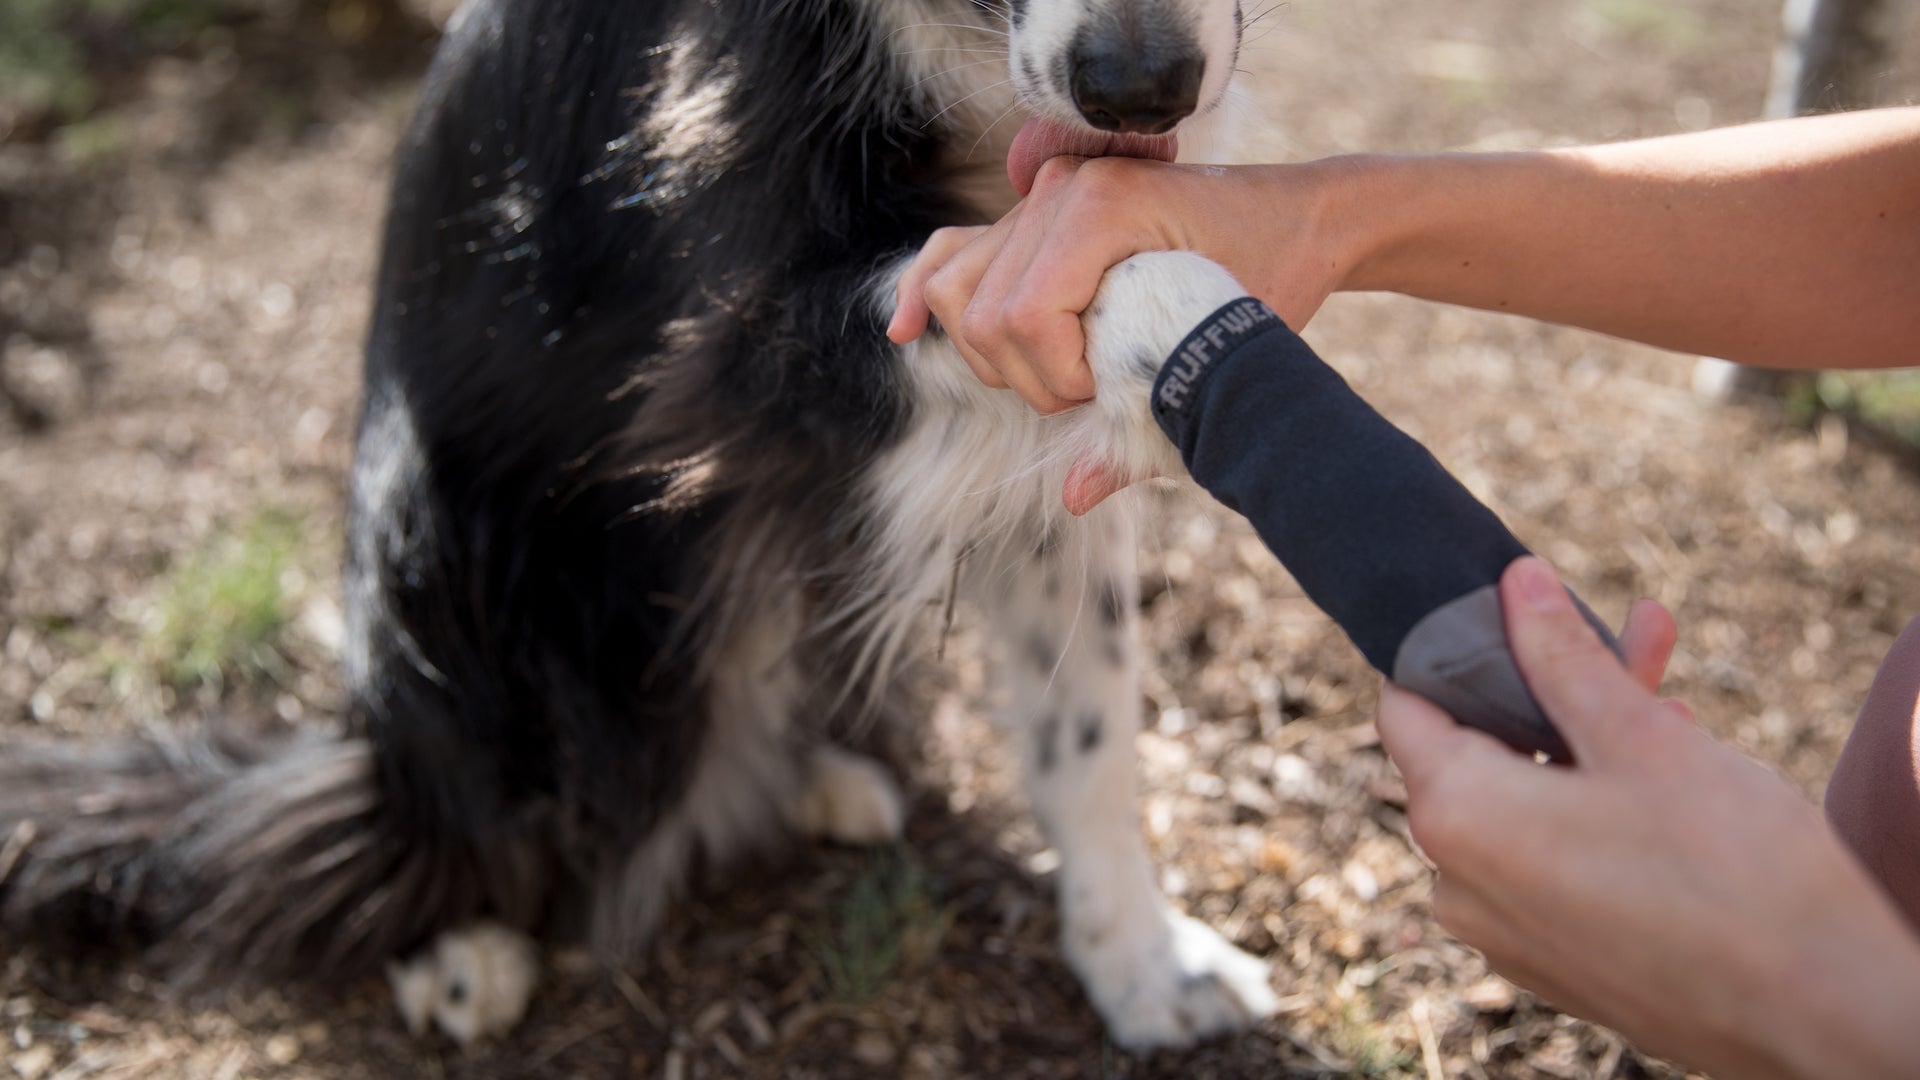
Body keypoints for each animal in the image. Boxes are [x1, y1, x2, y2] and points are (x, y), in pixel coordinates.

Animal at [11, 0, 1290, 1053]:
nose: (1139, 87)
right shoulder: (732, 350)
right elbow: (1061, 270)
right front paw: (1189, 306)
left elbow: (1091, 720)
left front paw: (1142, 968)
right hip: (435, 544)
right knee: (417, 819)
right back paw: (455, 950)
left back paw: (818, 783)